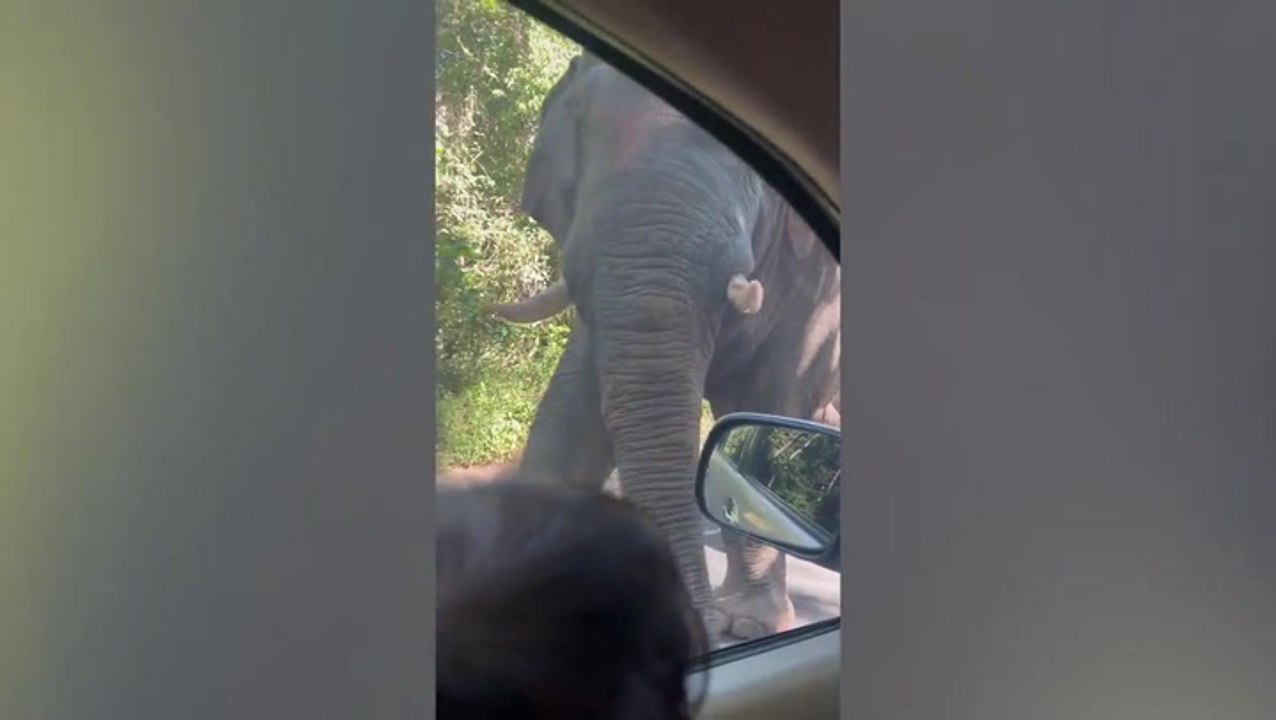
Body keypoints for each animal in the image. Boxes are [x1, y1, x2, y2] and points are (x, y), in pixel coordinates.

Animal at [494, 51, 841, 642]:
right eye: (582, 125)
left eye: (753, 168)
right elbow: (573, 405)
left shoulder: (816, 295)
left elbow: (770, 405)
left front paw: (747, 624)